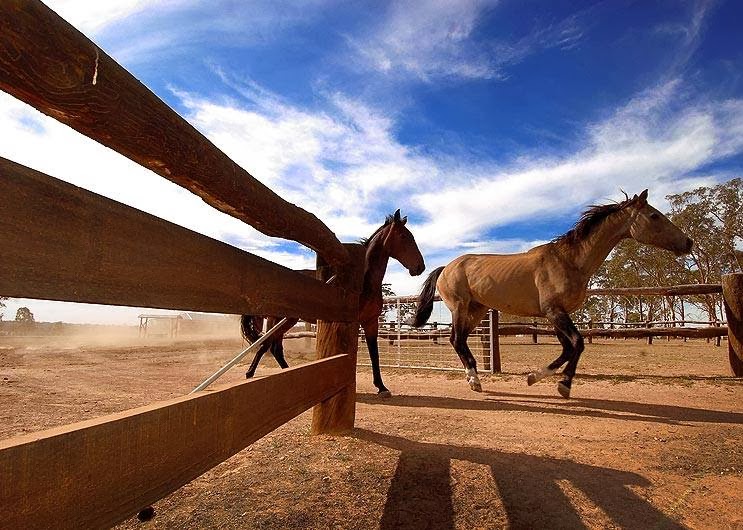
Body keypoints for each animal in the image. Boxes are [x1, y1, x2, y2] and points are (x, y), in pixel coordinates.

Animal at [240, 208, 422, 394]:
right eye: (403, 236)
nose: (420, 267)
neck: (364, 280)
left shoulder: (370, 322)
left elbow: (374, 354)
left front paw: (381, 386)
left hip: (287, 321)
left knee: (275, 348)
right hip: (276, 320)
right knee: (266, 345)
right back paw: (250, 374)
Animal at [410, 190, 696, 396]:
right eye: (654, 216)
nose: (688, 242)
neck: (569, 260)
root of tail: (446, 267)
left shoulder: (556, 314)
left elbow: (568, 348)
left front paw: (534, 377)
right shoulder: (554, 311)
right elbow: (578, 343)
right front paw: (563, 385)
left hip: (477, 310)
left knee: (459, 340)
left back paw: (476, 379)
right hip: (460, 307)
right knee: (456, 339)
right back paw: (474, 381)